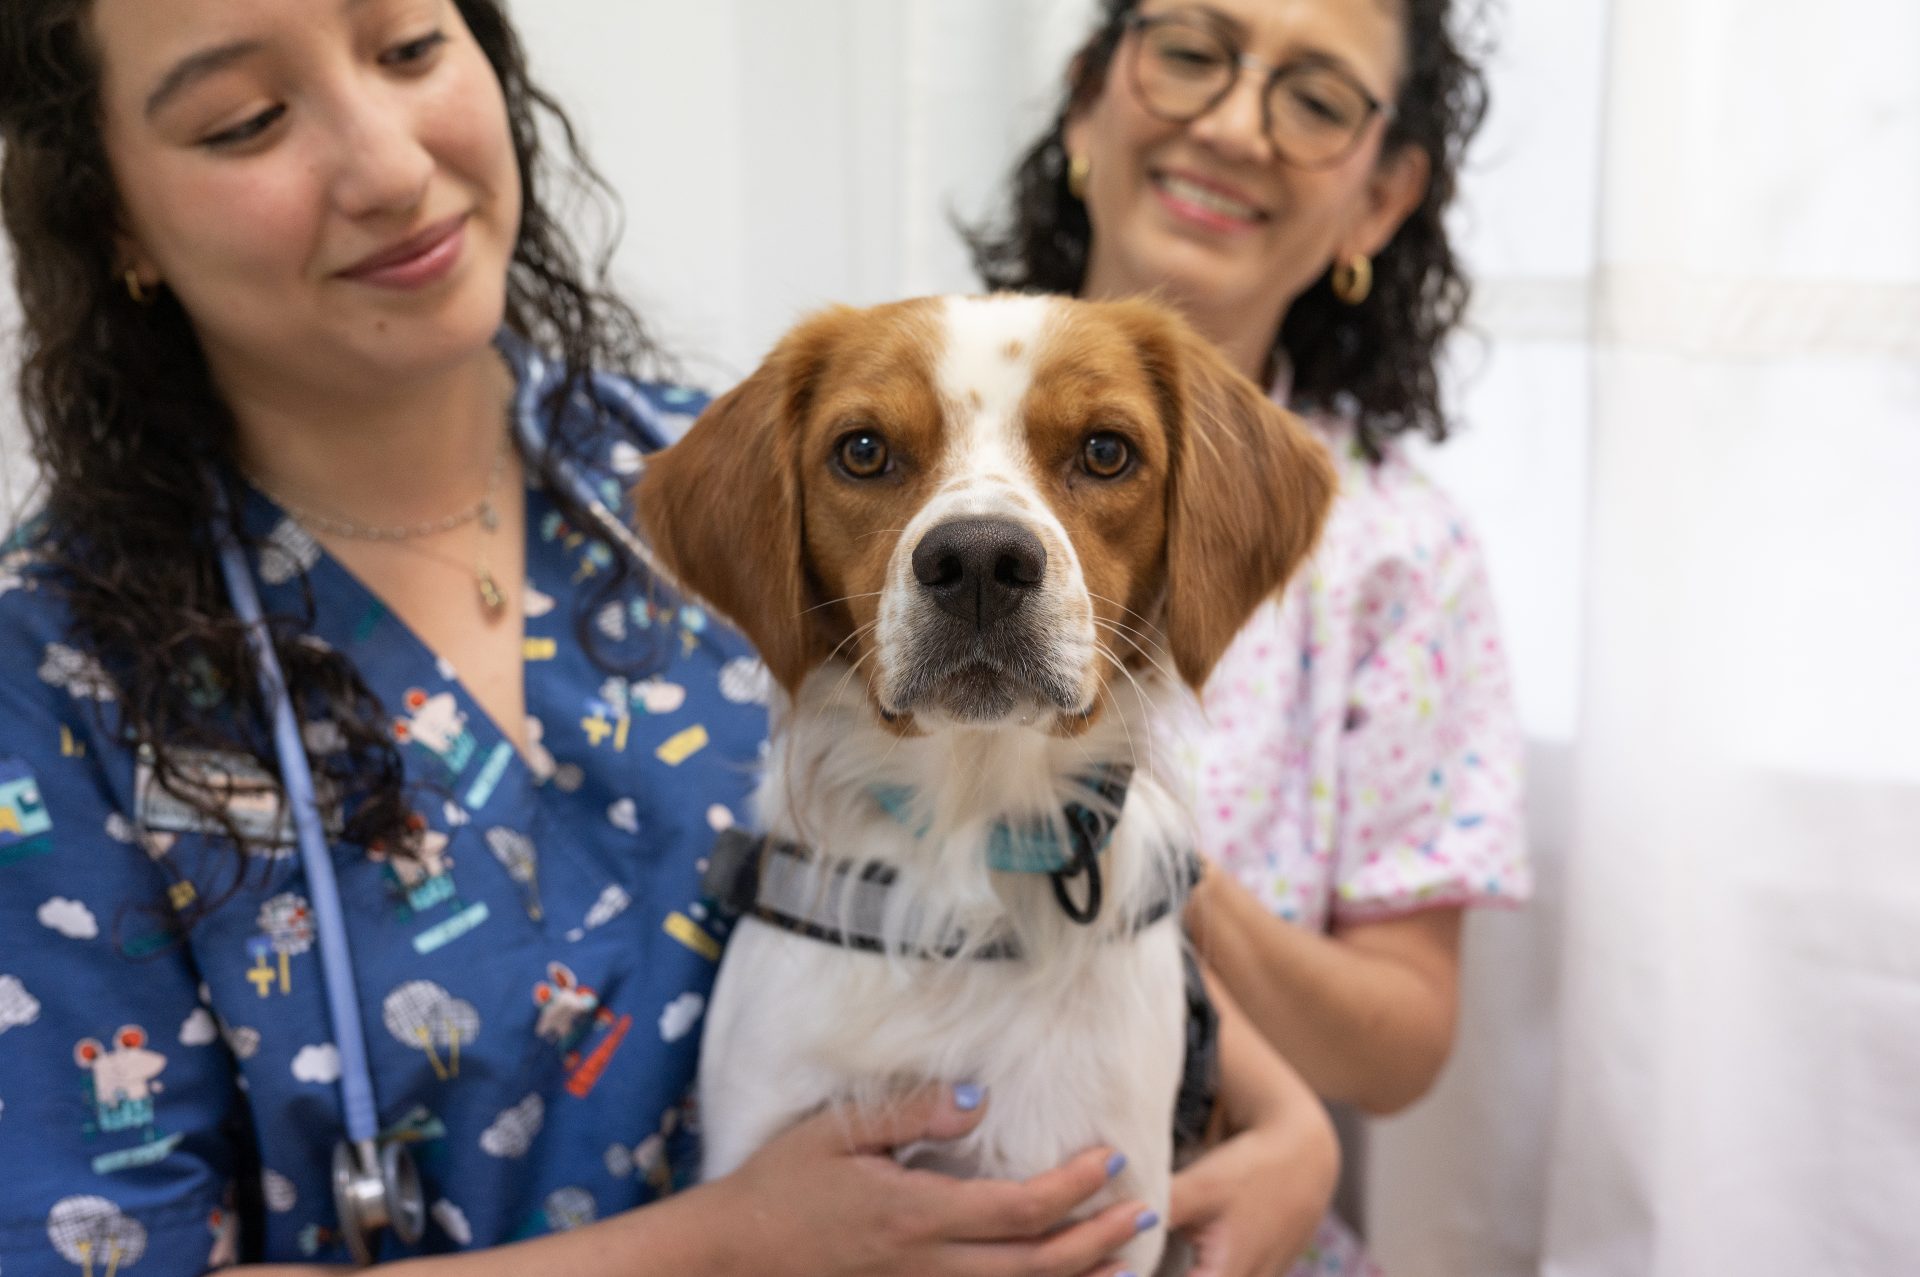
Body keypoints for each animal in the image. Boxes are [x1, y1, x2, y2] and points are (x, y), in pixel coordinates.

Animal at [637, 293, 1328, 1267]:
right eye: (862, 449)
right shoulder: (758, 1137)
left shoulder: (1116, 1205)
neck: (971, 834)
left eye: (1107, 450)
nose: (976, 562)